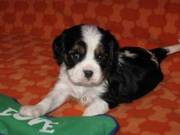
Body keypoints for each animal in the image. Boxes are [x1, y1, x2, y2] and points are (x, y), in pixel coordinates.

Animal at [19, 24, 180, 117]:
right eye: (75, 55)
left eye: (101, 56)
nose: (88, 73)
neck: (84, 86)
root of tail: (152, 54)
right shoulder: (63, 88)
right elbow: (48, 100)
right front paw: (33, 110)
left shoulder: (110, 98)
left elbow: (90, 113)